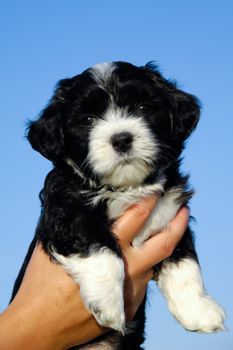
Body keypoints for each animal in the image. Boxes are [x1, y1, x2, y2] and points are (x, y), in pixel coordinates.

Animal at [11, 61, 226, 348]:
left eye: (143, 108)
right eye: (88, 120)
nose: (122, 139)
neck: (127, 187)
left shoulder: (170, 214)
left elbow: (185, 261)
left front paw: (199, 309)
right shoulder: (66, 209)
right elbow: (100, 246)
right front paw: (109, 304)